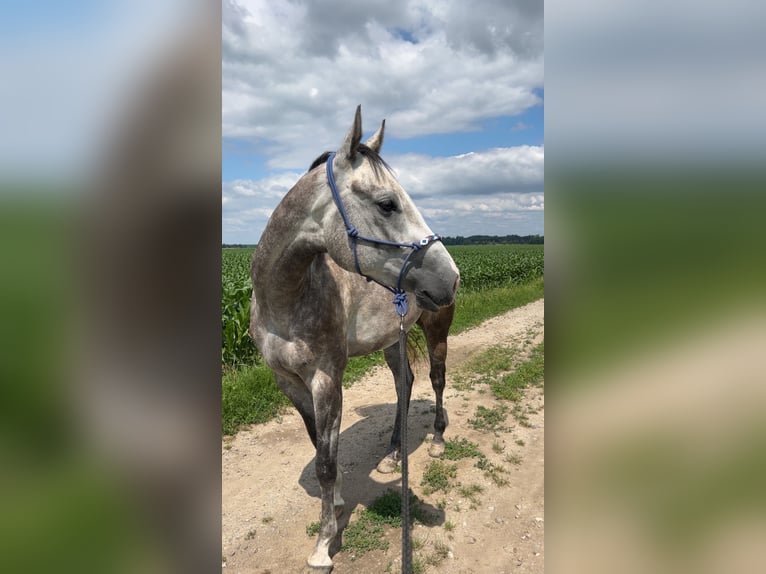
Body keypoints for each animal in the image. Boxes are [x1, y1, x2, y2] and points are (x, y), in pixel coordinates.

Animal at [249, 106, 460, 571]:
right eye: (387, 204)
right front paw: (340, 501)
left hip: (436, 328)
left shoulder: (327, 378)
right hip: (393, 339)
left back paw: (437, 440)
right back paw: (395, 453)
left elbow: (326, 462)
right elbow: (320, 448)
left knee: (436, 378)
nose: (450, 277)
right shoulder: (288, 382)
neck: (284, 300)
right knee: (404, 384)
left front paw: (323, 544)